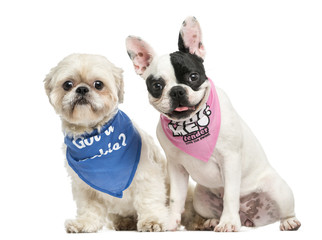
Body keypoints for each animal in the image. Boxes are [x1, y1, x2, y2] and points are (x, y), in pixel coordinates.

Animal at [44, 53, 169, 232]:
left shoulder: (146, 175)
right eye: (67, 84)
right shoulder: (85, 187)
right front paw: (84, 223)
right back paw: (124, 222)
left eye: (98, 84)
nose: (82, 89)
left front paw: (153, 220)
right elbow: (89, 207)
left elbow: (149, 200)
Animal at [124, 15, 300, 232]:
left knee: (285, 210)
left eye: (193, 76)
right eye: (157, 86)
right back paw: (212, 221)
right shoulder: (176, 168)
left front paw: (229, 222)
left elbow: (230, 195)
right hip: (201, 198)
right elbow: (175, 198)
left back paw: (288, 221)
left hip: (279, 191)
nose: (177, 91)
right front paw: (171, 221)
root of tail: (249, 218)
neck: (191, 123)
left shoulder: (230, 160)